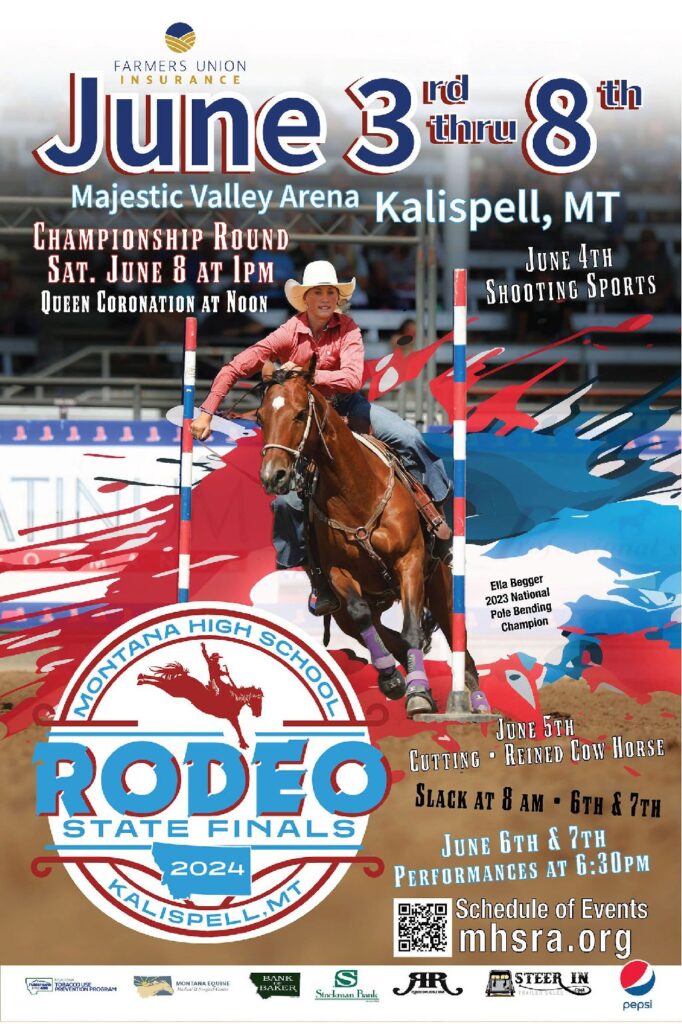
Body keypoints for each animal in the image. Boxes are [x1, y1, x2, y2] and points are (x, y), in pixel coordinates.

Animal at [253, 360, 483, 720]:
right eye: (260, 416)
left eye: (300, 413)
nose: (272, 475)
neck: (355, 492)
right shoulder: (338, 574)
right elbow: (363, 614)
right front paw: (393, 680)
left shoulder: (410, 561)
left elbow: (412, 628)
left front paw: (418, 695)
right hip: (347, 614)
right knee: (383, 634)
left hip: (440, 588)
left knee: (457, 641)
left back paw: (475, 702)